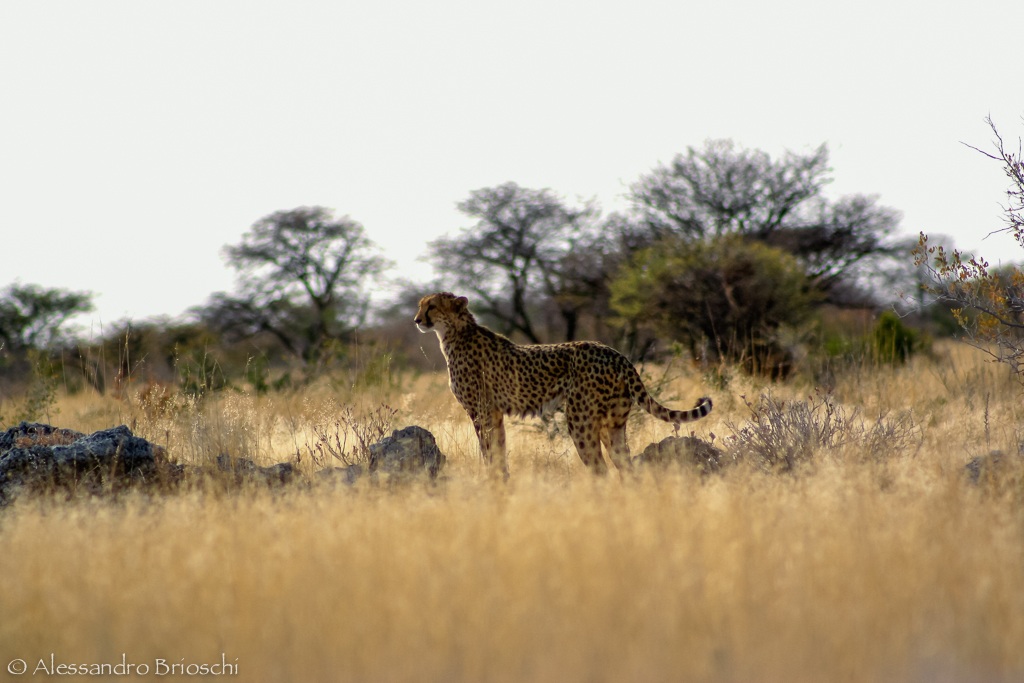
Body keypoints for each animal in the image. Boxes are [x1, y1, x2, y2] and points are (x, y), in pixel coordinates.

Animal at [414, 291, 712, 477]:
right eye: (420, 305)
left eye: (431, 306)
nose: (416, 320)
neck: (454, 333)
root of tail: (615, 352)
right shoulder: (494, 413)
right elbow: (498, 451)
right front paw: (501, 482)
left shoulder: (482, 411)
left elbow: (489, 451)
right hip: (612, 423)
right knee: (625, 465)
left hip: (580, 419)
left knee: (600, 468)